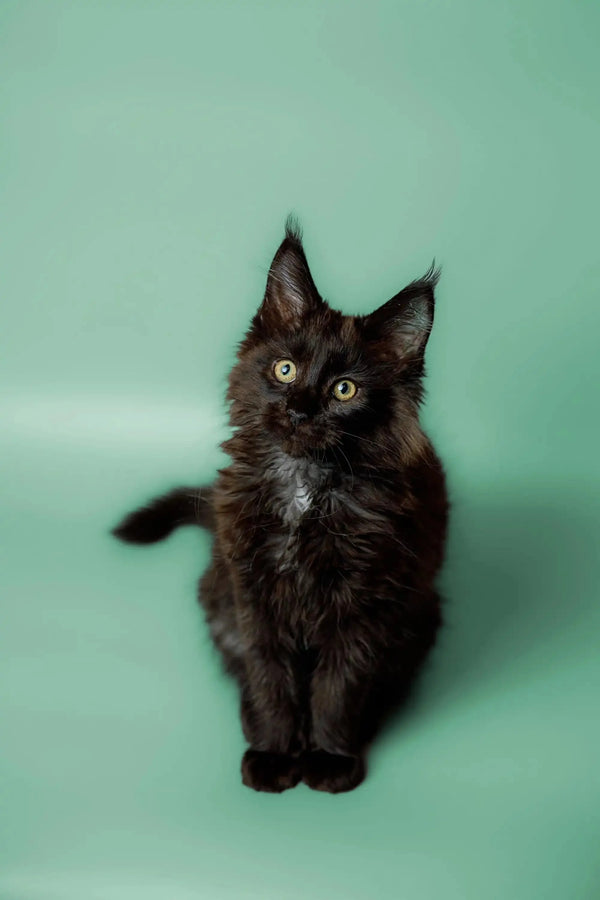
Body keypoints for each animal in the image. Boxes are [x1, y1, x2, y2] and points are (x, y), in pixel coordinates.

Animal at [115, 220, 448, 796]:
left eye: (344, 390)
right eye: (286, 369)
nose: (299, 409)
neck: (303, 487)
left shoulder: (364, 605)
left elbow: (337, 688)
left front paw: (329, 757)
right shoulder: (255, 597)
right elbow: (271, 681)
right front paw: (274, 751)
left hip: (419, 616)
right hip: (219, 596)